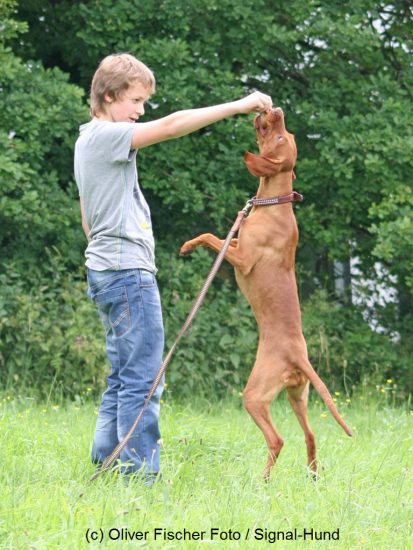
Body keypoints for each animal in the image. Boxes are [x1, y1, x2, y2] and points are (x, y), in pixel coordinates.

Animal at [179, 109, 350, 484]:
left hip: (256, 395)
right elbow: (215, 236)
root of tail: (297, 356)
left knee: (278, 438)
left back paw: (263, 480)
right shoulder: (237, 245)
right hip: (297, 395)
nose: (277, 110)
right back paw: (312, 477)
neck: (274, 206)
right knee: (310, 435)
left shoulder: (243, 257)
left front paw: (188, 247)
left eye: (281, 138)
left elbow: (214, 237)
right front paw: (189, 245)